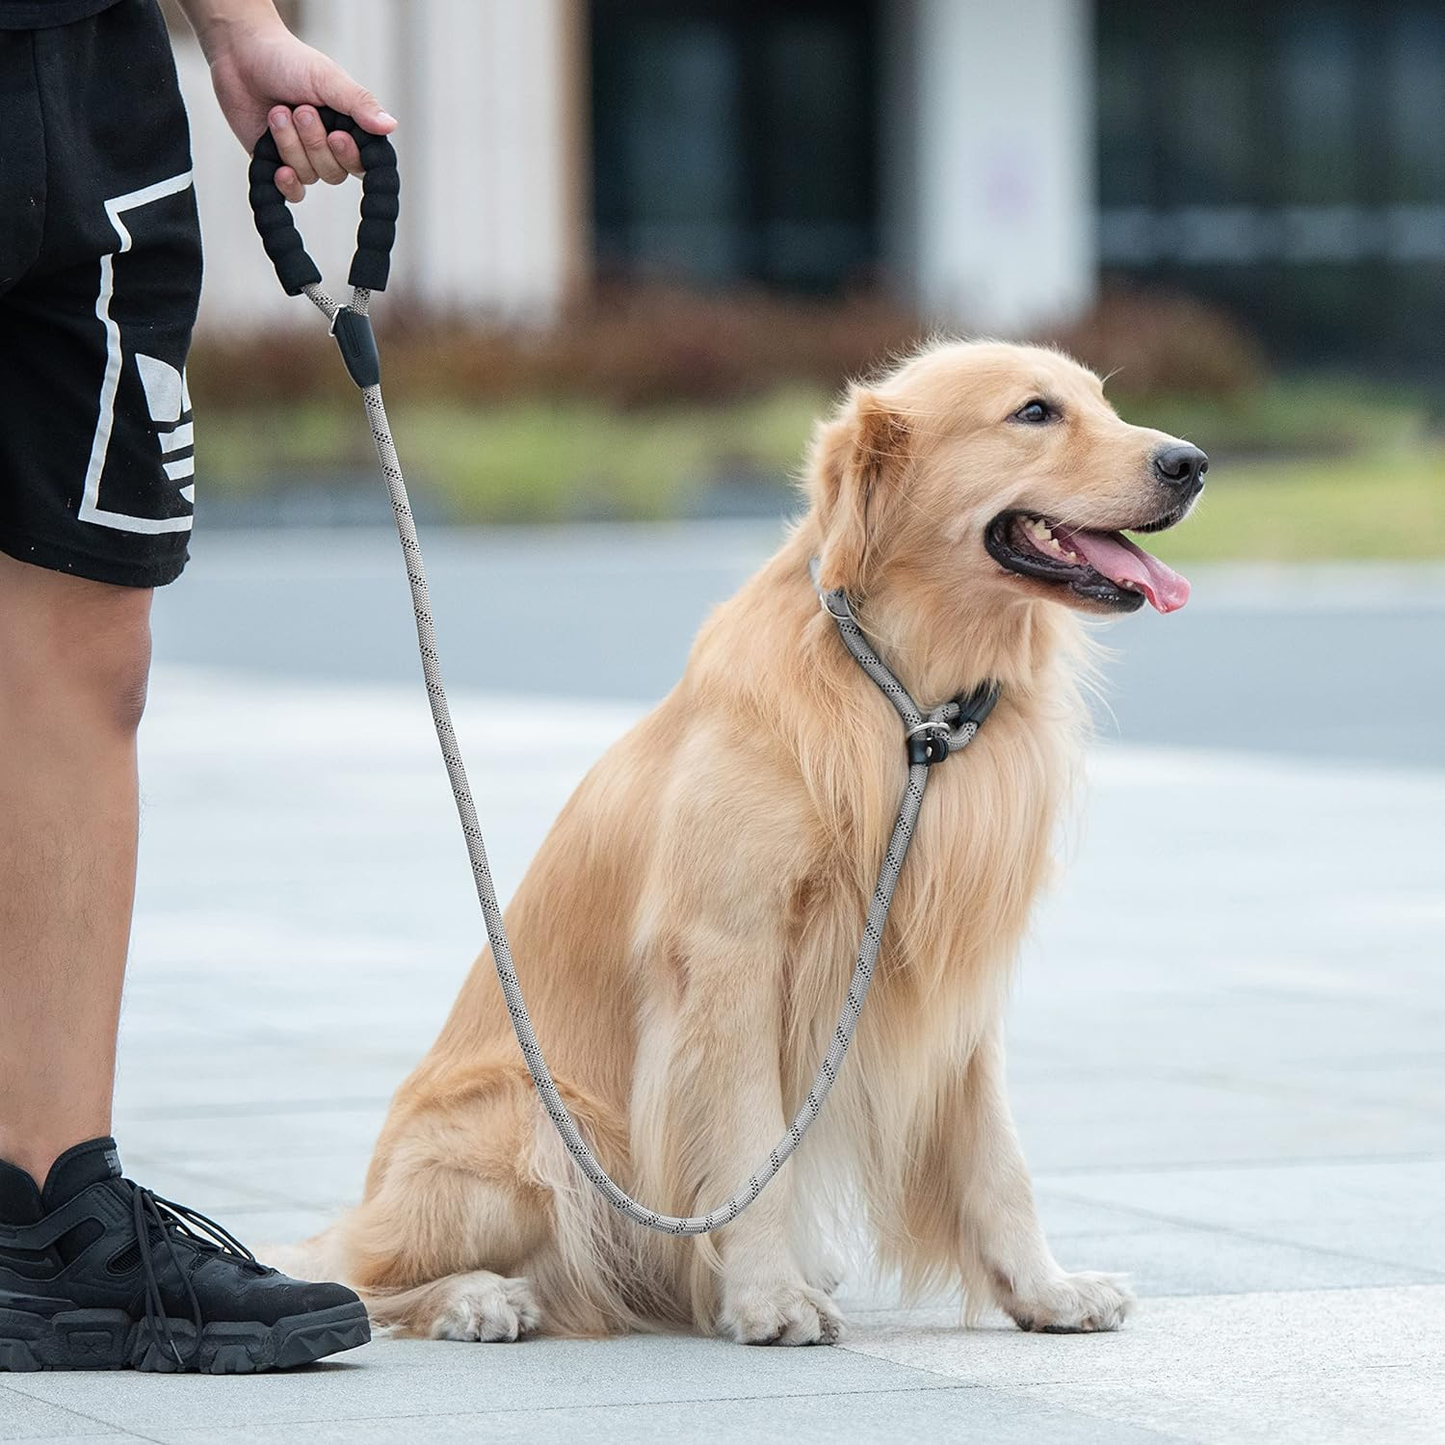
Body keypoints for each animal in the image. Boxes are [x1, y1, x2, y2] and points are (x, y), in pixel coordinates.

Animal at [310, 338, 1202, 1340]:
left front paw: (1045, 1288)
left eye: (1100, 402)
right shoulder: (729, 955)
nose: (1192, 462)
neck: (906, 704)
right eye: (1035, 413)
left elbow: (998, 1157)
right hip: (535, 1127)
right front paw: (769, 1295)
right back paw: (479, 1297)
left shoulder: (954, 973)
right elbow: (746, 1145)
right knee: (358, 1269)